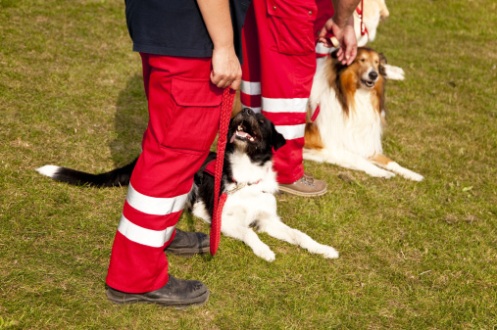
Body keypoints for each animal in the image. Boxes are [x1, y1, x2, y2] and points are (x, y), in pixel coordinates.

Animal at [36, 108, 340, 262]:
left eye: (262, 119)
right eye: (247, 112)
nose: (245, 108)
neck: (245, 177)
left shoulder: (268, 221)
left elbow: (300, 235)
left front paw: (324, 249)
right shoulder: (223, 220)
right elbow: (249, 233)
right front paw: (265, 251)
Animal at [302, 47, 422, 180]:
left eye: (376, 62)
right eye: (362, 60)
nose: (374, 75)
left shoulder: (363, 143)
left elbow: (391, 162)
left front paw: (412, 174)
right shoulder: (324, 145)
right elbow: (357, 158)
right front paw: (381, 172)